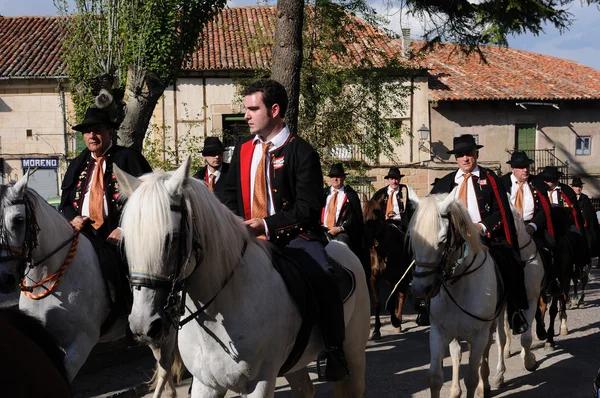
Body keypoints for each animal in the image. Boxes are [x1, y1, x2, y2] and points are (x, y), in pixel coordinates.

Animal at [116, 159, 370, 398]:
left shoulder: (260, 383)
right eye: (127, 240)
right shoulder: (205, 385)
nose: (143, 326)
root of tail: (341, 245)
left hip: (354, 355)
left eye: (172, 238)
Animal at [364, 194, 410, 340]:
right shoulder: (373, 278)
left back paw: (398, 322)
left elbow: (390, 303)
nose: (367, 238)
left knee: (401, 296)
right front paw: (376, 330)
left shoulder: (396, 278)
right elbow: (378, 303)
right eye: (364, 212)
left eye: (378, 213)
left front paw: (395, 321)